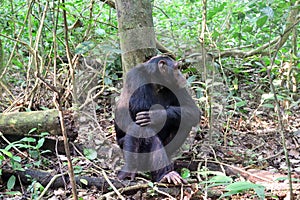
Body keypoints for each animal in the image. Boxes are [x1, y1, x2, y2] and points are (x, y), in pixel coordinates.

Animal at [113, 54, 200, 184]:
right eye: (176, 68)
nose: (181, 75)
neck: (156, 82)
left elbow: (193, 110)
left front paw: (157, 115)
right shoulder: (137, 77)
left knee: (183, 121)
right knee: (143, 129)